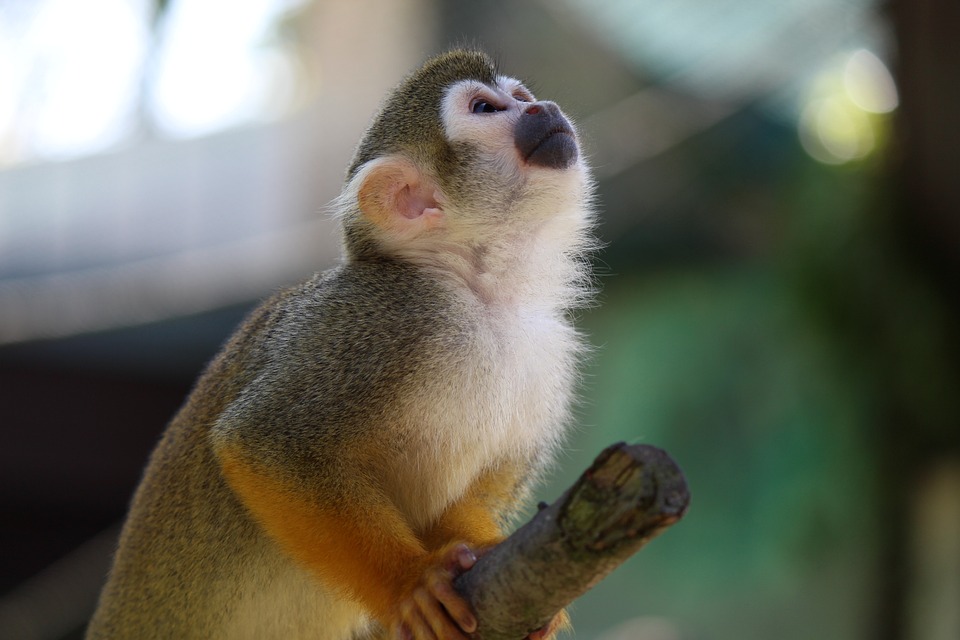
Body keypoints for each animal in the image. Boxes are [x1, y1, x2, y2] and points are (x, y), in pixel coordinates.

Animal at [86, 50, 596, 640]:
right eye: (486, 109)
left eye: (519, 95)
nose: (542, 107)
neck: (480, 294)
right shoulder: (379, 323)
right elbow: (262, 444)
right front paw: (410, 584)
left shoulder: (547, 356)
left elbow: (459, 507)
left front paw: (488, 550)